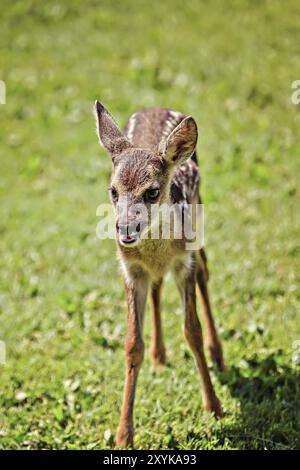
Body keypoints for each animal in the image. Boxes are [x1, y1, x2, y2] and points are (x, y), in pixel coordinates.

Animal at [95, 101, 224, 446]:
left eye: (152, 192)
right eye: (113, 191)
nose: (124, 229)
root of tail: (158, 105)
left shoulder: (183, 263)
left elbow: (192, 330)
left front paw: (214, 406)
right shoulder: (131, 270)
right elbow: (131, 344)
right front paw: (123, 434)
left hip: (198, 219)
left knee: (206, 271)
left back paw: (218, 355)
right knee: (157, 287)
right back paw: (159, 356)